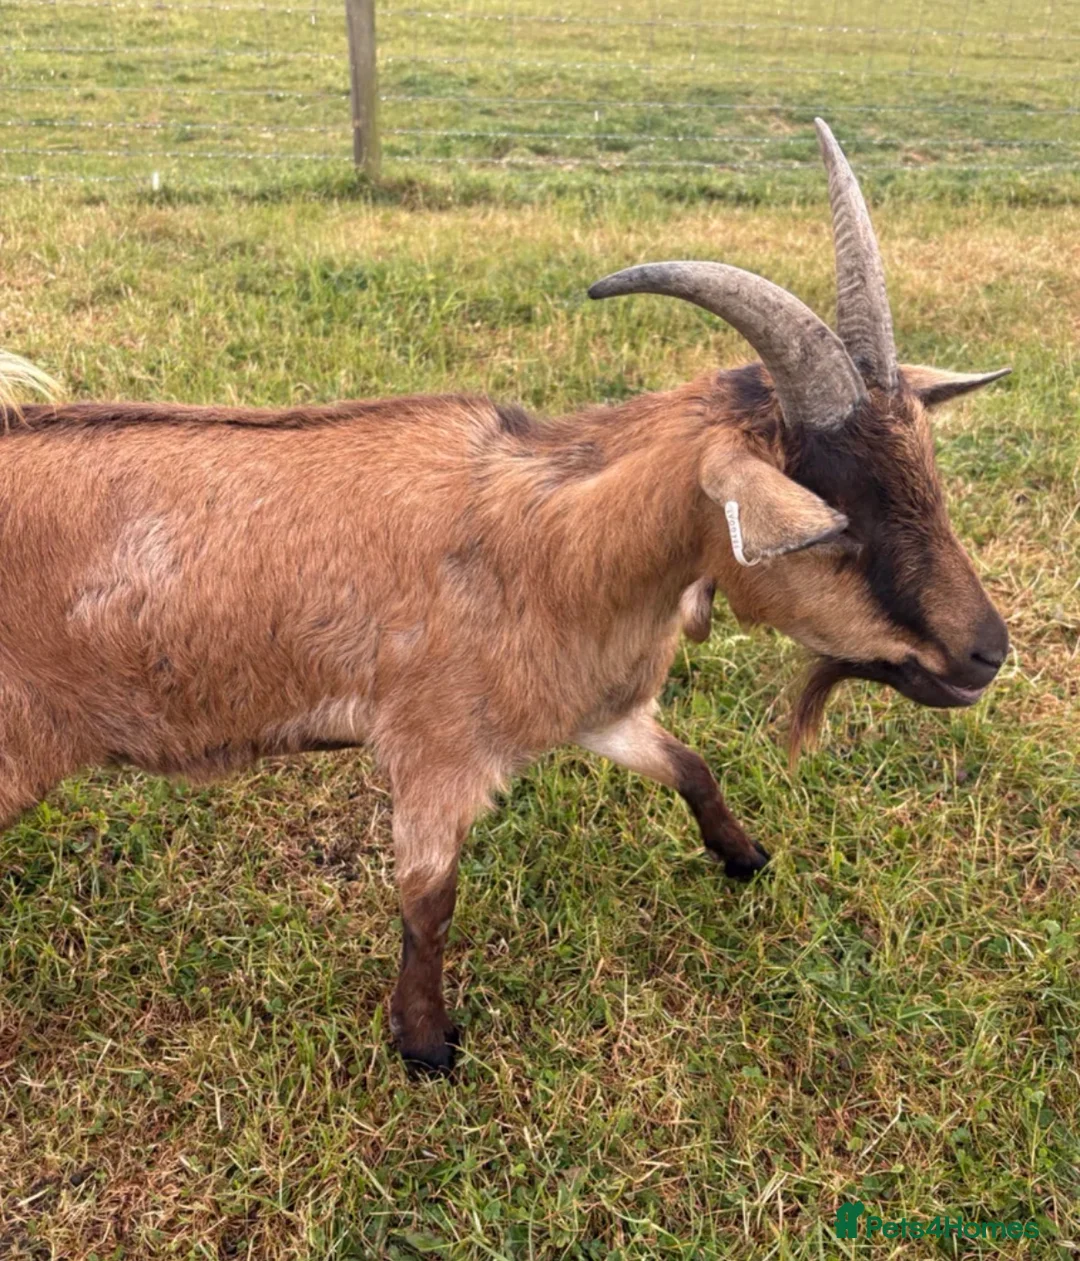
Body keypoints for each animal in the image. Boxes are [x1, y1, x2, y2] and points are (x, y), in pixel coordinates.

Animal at [0, 121, 1008, 1073]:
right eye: (836, 525)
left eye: (927, 479)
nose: (987, 650)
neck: (547, 551)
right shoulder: (434, 748)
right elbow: (428, 901)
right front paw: (425, 1046)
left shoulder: (590, 707)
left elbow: (690, 766)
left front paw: (746, 857)